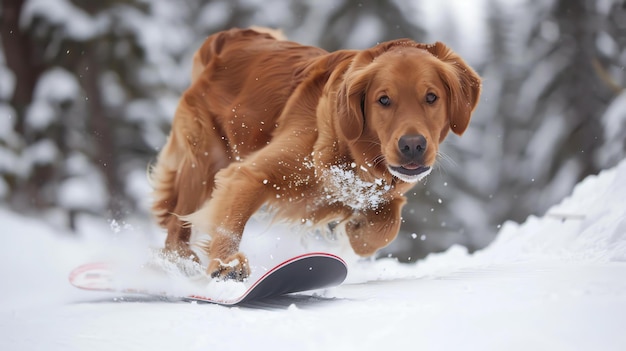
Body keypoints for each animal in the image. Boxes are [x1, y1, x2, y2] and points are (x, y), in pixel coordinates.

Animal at [149, 26, 480, 280]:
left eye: (431, 97)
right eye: (383, 100)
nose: (412, 146)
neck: (352, 153)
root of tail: (229, 38)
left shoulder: (388, 191)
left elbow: (387, 226)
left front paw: (358, 230)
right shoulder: (251, 174)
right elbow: (232, 220)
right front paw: (227, 265)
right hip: (205, 161)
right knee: (176, 225)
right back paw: (182, 262)